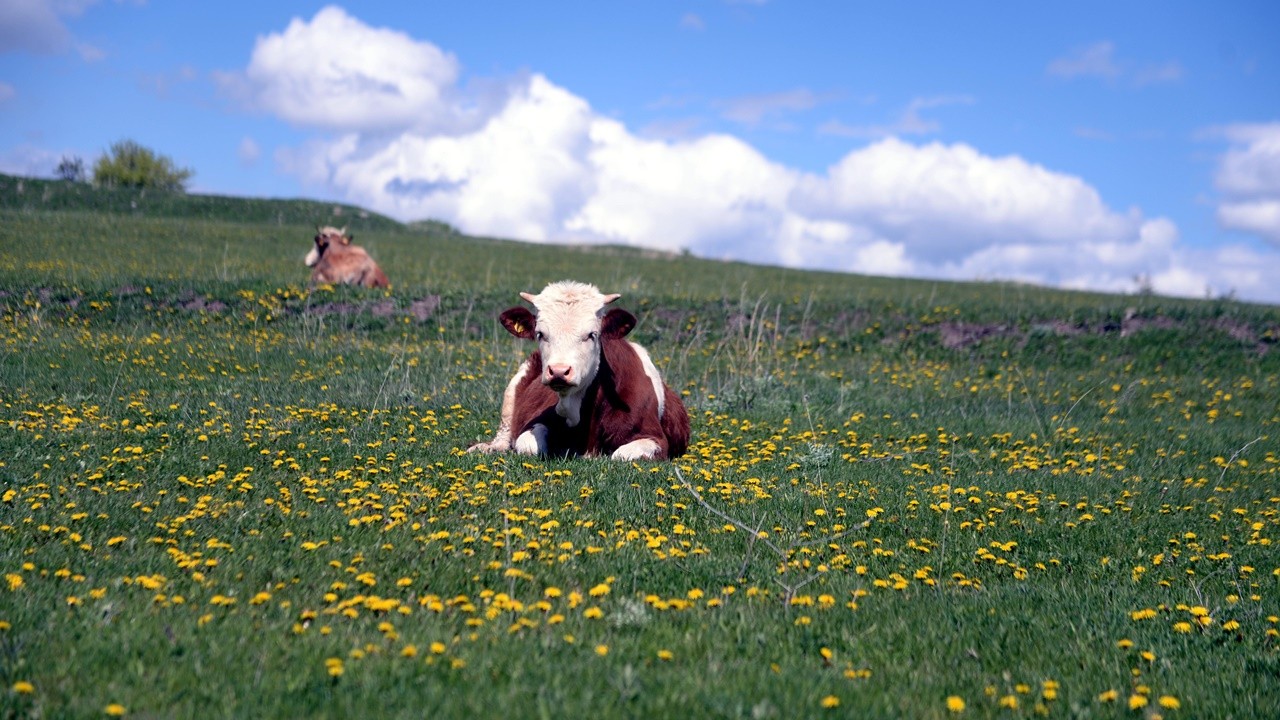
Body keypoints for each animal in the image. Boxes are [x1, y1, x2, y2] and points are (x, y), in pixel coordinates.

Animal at [468, 280, 691, 458]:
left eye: (592, 334)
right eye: (540, 334)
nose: (559, 371)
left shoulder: (655, 438)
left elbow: (621, 455)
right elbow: (529, 444)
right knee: (504, 434)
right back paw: (483, 448)